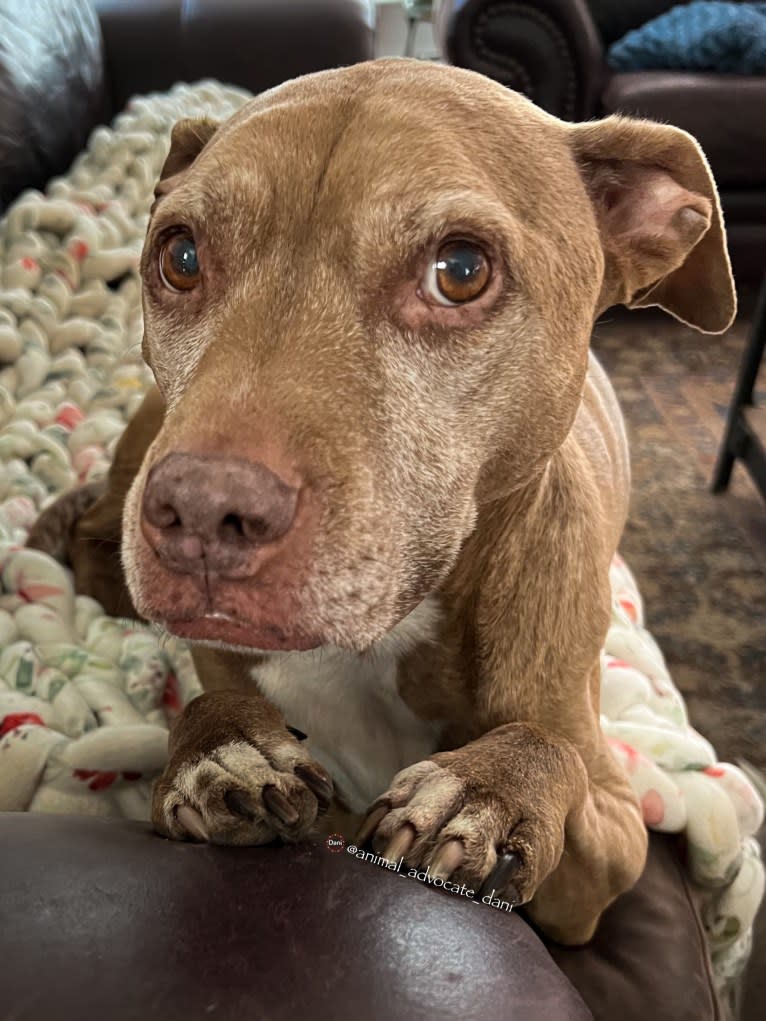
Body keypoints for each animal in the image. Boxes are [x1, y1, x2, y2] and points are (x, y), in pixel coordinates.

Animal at [30, 59, 739, 943]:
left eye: (461, 271)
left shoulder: (612, 840)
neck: (382, 642)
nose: (201, 513)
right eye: (181, 255)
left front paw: (486, 790)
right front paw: (223, 748)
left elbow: (550, 750)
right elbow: (207, 704)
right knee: (91, 529)